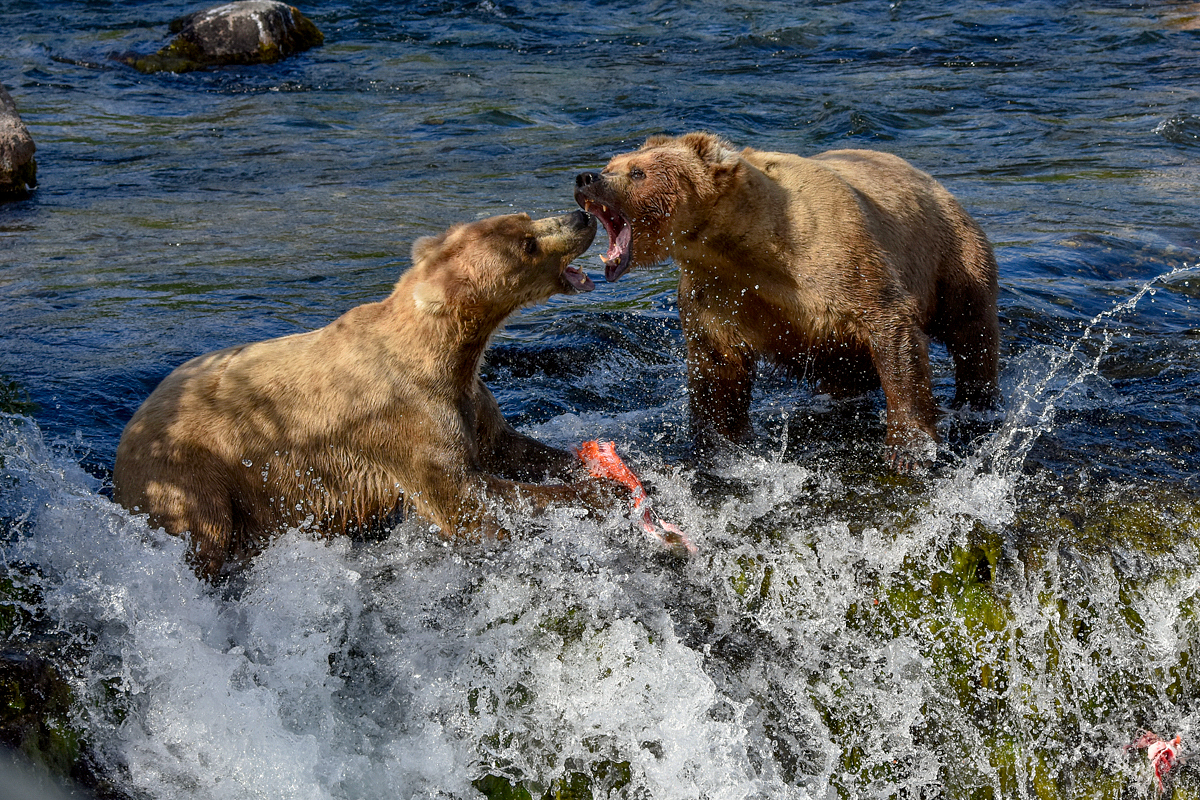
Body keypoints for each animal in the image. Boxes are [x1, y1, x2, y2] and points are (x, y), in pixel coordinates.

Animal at [112, 209, 619, 578]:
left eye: (525, 216)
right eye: (527, 244)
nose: (580, 217)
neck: (446, 353)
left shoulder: (469, 402)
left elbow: (508, 447)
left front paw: (604, 467)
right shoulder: (407, 421)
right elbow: (465, 495)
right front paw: (598, 494)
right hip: (192, 472)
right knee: (204, 531)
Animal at [573, 130, 1003, 470]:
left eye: (638, 172)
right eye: (613, 162)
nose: (586, 177)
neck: (750, 245)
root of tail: (932, 180)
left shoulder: (840, 259)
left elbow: (891, 329)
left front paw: (909, 449)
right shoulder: (717, 292)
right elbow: (717, 368)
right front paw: (718, 443)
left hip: (950, 253)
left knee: (971, 328)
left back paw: (977, 400)